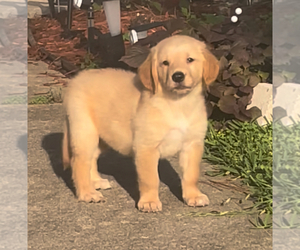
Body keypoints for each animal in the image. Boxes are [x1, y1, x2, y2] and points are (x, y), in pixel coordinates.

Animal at [62, 34, 219, 212]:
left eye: (190, 60)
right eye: (165, 63)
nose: (177, 76)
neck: (178, 103)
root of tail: (75, 79)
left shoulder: (192, 145)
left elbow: (191, 175)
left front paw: (193, 196)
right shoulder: (146, 147)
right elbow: (150, 179)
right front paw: (149, 202)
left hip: (103, 136)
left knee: (92, 157)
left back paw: (95, 182)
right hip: (84, 131)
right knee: (79, 162)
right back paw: (87, 193)